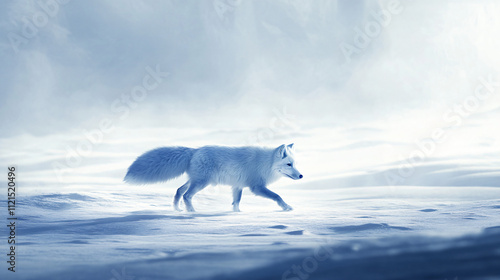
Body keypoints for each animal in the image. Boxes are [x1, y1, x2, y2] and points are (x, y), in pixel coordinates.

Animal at [124, 143, 304, 211]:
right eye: (289, 164)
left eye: (295, 163)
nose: (301, 175)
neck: (264, 163)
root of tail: (194, 150)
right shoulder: (256, 187)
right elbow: (277, 196)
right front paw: (287, 208)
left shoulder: (237, 186)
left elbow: (236, 202)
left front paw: (237, 214)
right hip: (202, 183)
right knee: (187, 195)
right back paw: (192, 212)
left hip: (194, 180)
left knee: (179, 190)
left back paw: (177, 209)